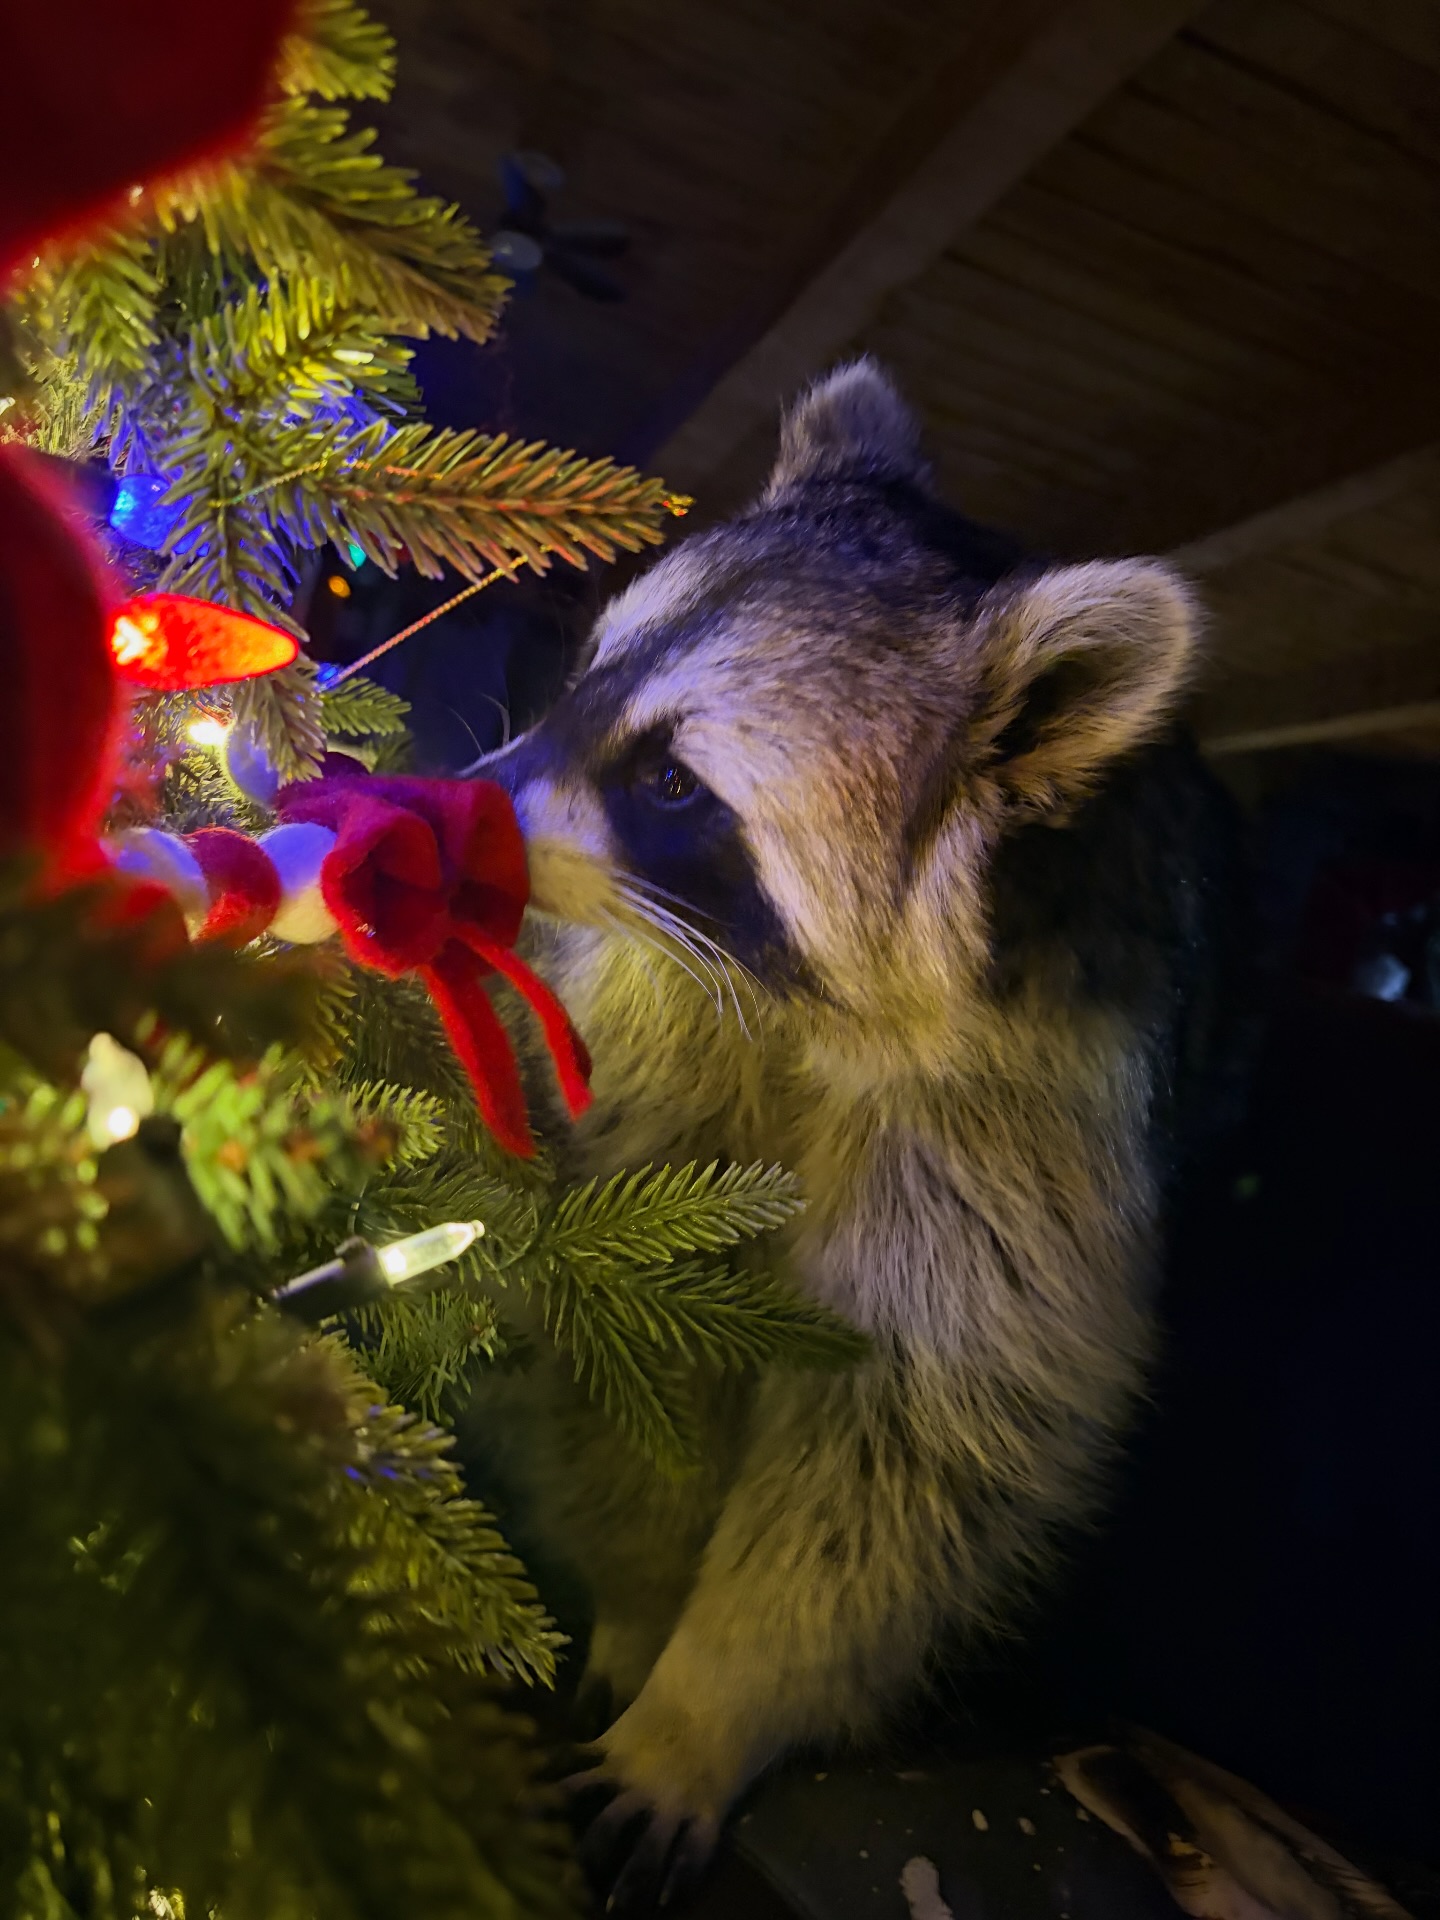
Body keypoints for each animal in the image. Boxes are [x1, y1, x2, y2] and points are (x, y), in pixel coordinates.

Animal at [473, 360, 1233, 1892]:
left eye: (672, 782)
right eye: (588, 674)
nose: (457, 809)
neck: (803, 1016)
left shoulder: (1033, 1130)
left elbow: (915, 1443)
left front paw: (704, 1705)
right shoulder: (658, 1008)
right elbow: (621, 1315)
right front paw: (643, 1599)